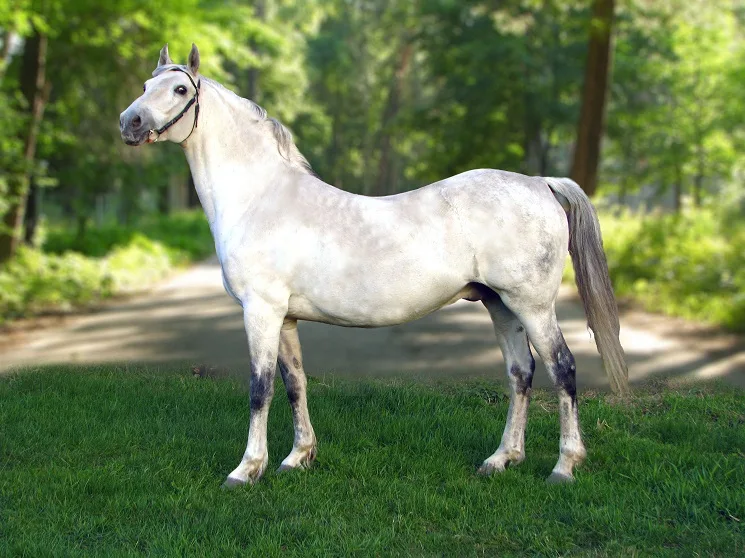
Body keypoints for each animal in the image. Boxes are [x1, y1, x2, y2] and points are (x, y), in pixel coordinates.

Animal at [120, 43, 629, 487]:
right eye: (145, 84)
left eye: (179, 89)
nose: (130, 121)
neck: (260, 197)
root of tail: (540, 183)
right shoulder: (284, 317)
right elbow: (294, 382)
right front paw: (298, 458)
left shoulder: (260, 311)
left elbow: (259, 388)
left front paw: (247, 469)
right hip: (500, 305)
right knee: (520, 373)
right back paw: (502, 459)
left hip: (532, 305)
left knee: (562, 369)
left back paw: (564, 466)